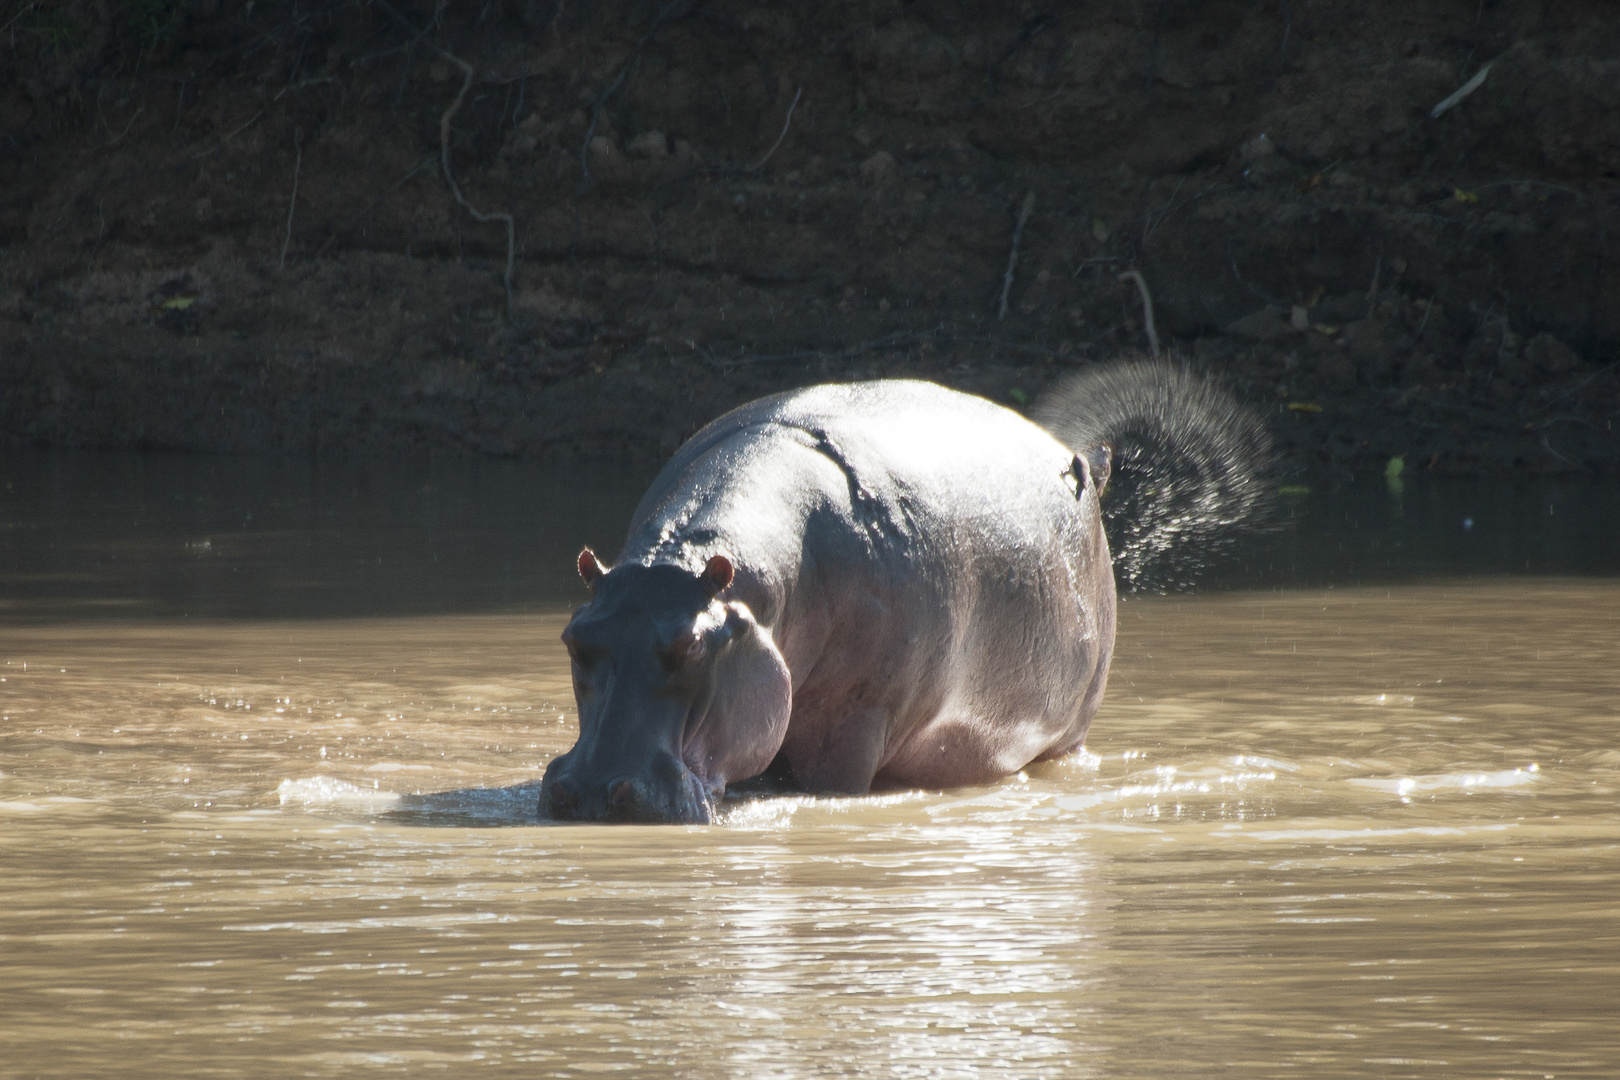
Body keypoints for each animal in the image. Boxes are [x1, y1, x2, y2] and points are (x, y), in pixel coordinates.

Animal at [544, 361, 1263, 819]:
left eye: (692, 647)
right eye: (575, 638)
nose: (592, 791)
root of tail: (1083, 457)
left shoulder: (857, 721)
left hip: (1073, 726)